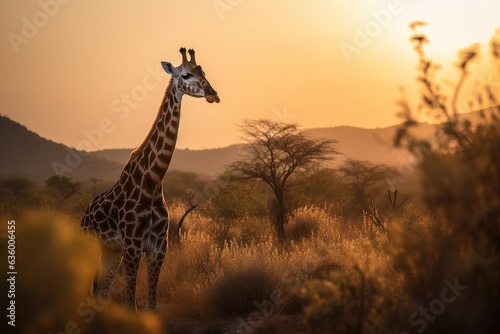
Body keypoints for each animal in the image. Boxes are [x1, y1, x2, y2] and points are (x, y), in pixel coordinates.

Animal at [80, 47, 219, 310]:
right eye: (185, 75)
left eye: (203, 72)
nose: (213, 94)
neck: (152, 182)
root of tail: (83, 215)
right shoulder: (133, 246)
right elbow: (130, 304)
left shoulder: (158, 248)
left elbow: (152, 305)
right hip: (93, 245)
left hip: (111, 251)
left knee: (101, 294)